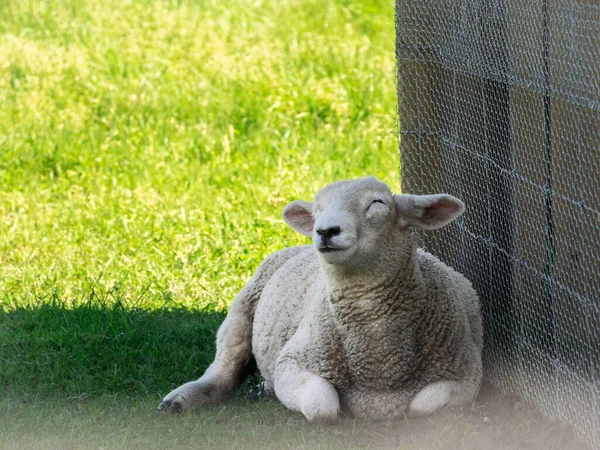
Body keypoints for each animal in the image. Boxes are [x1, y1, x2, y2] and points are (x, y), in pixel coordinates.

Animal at [158, 178, 482, 424]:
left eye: (377, 203)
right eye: (317, 209)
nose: (325, 231)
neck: (380, 365)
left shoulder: (467, 373)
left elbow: (421, 406)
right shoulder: (291, 362)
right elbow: (322, 405)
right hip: (242, 309)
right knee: (224, 368)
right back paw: (180, 399)